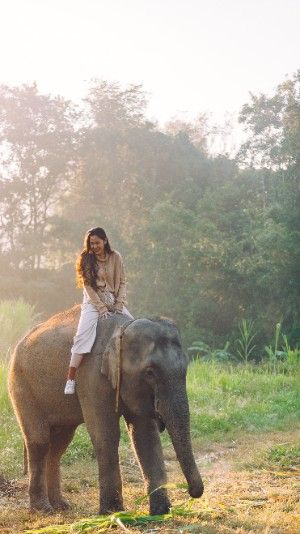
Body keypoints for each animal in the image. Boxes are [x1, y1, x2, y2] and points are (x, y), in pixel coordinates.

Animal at [8, 308, 204, 516]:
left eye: (185, 369)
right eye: (150, 373)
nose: (191, 492)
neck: (122, 330)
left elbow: (145, 436)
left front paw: (160, 512)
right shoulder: (91, 375)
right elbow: (106, 434)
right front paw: (112, 512)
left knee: (59, 444)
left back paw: (61, 505)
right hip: (21, 386)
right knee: (40, 441)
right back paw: (44, 510)